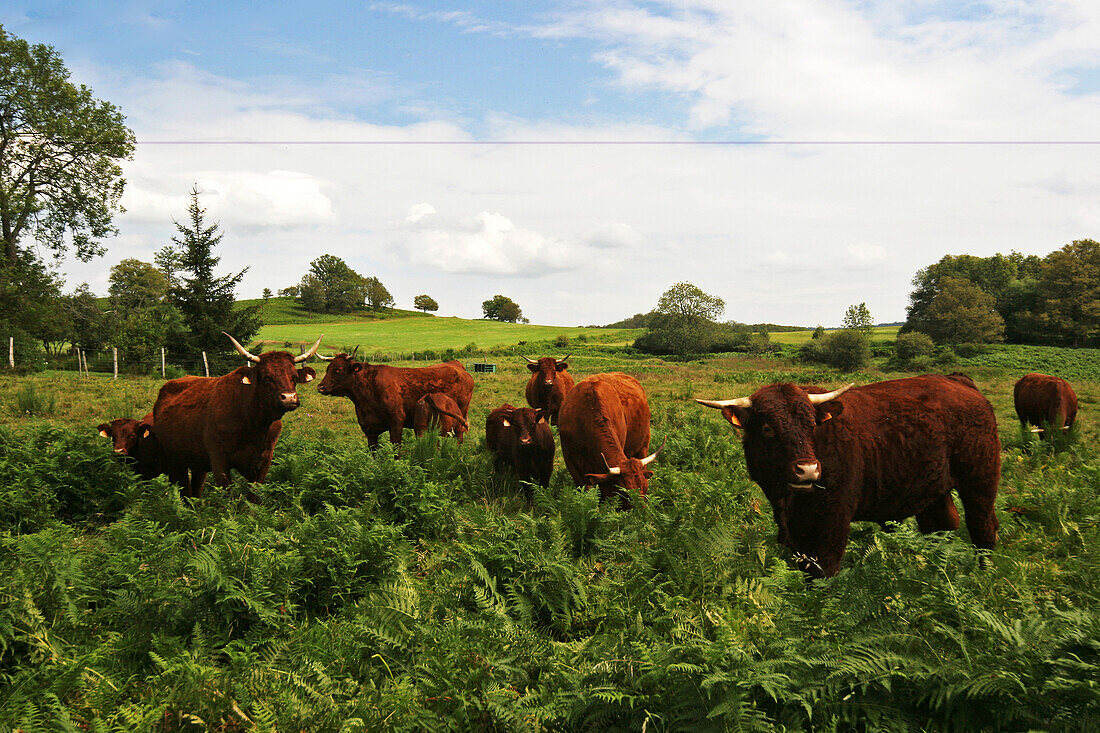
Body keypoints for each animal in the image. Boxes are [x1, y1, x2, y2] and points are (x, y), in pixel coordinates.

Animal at [148, 332, 319, 497]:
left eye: (294, 377)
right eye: (266, 377)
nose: (289, 397)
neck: (254, 424)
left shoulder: (265, 460)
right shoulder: (219, 459)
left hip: (197, 463)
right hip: (175, 460)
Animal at [316, 354, 475, 444]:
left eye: (338, 370)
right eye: (327, 368)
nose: (320, 387)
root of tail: (456, 365)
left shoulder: (396, 423)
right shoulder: (369, 429)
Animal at [699, 376, 1003, 576]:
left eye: (811, 425)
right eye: (767, 428)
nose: (808, 469)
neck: (788, 500)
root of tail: (958, 381)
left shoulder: (834, 519)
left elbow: (825, 570)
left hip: (980, 482)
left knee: (983, 529)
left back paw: (984, 577)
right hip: (933, 491)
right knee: (941, 528)